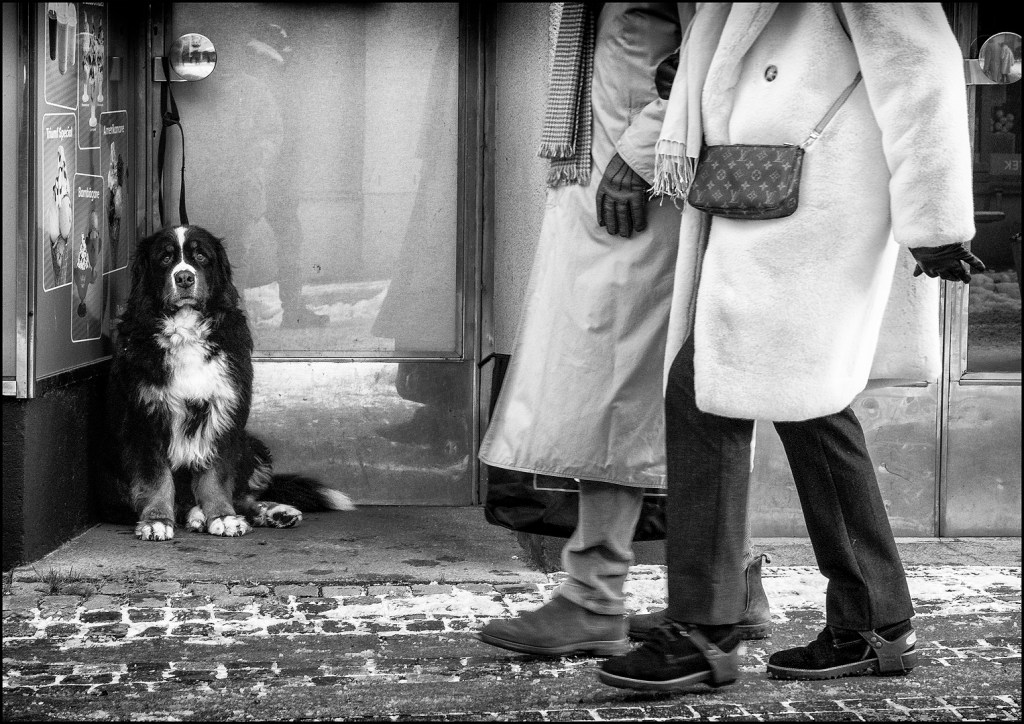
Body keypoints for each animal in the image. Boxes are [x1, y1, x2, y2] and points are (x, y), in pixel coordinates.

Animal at [105, 224, 353, 540]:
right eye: (165, 258)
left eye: (201, 256)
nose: (184, 277)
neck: (186, 331)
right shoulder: (145, 419)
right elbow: (156, 479)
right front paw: (156, 520)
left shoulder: (223, 412)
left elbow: (217, 477)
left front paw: (222, 517)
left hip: (253, 444)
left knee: (242, 497)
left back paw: (273, 512)